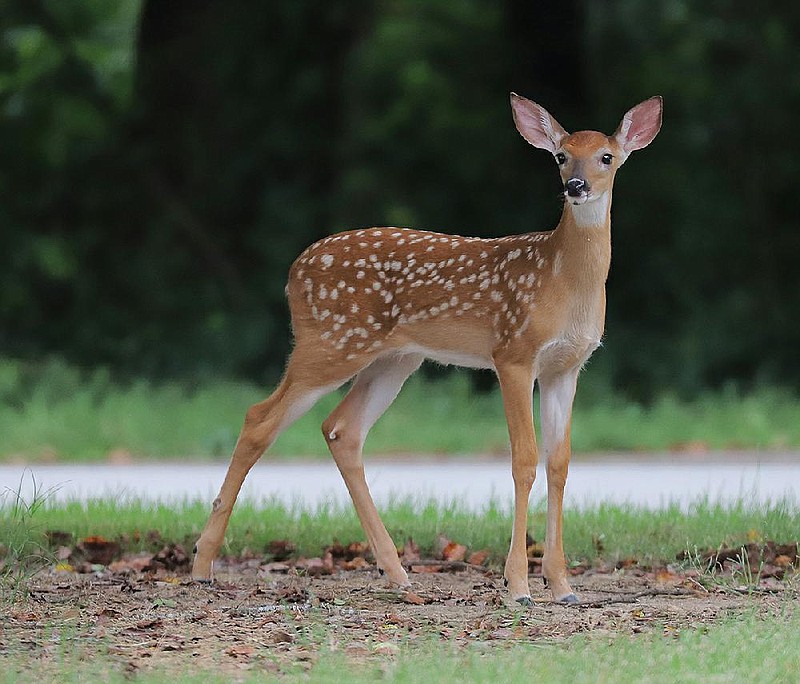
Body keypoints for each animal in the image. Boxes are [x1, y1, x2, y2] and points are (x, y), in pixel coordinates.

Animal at [191, 93, 660, 608]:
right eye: (560, 155)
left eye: (606, 157)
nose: (576, 186)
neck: (563, 279)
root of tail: (294, 271)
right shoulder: (513, 352)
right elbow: (523, 458)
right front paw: (517, 586)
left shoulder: (567, 367)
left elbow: (559, 462)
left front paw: (562, 586)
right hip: (332, 342)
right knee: (260, 417)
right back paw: (201, 565)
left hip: (394, 358)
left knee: (341, 429)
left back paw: (396, 572)